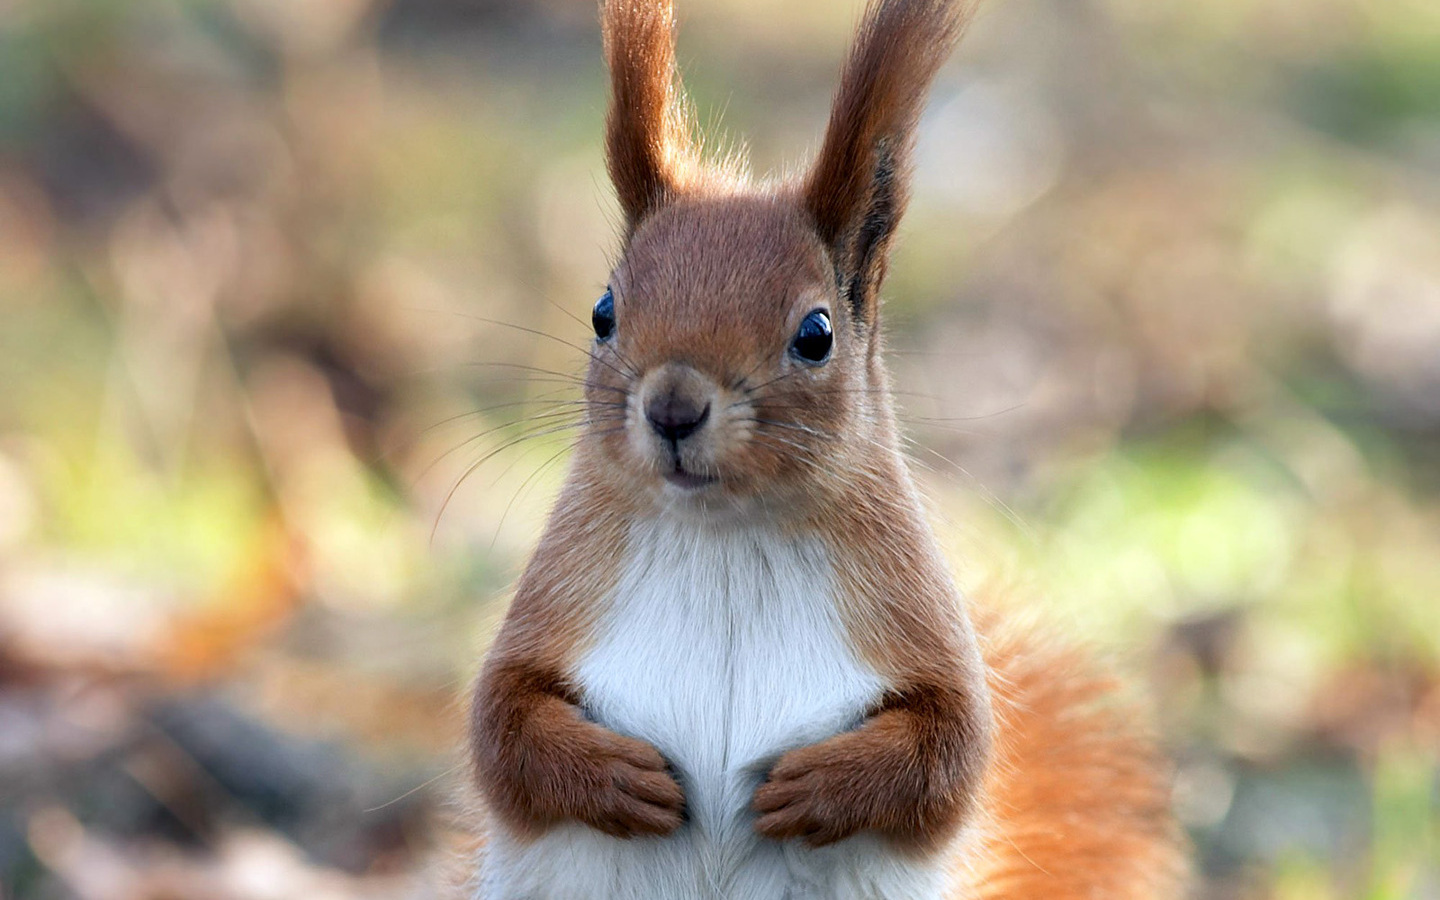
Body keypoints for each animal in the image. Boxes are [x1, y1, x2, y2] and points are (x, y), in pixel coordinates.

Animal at [466, 0, 1186, 892]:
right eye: (603, 313)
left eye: (816, 335)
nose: (673, 408)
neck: (727, 539)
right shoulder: (558, 599)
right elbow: (501, 728)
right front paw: (619, 777)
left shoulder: (915, 615)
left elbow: (952, 749)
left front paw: (814, 788)